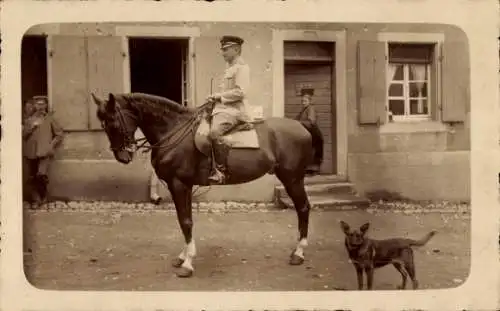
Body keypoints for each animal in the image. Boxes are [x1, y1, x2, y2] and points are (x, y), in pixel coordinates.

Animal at [90, 92, 316, 278]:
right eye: (103, 125)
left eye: (113, 123)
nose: (122, 156)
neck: (173, 130)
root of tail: (301, 125)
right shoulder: (184, 186)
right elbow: (184, 220)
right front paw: (183, 256)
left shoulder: (179, 185)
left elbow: (185, 222)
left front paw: (188, 264)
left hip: (292, 179)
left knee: (303, 208)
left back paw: (299, 253)